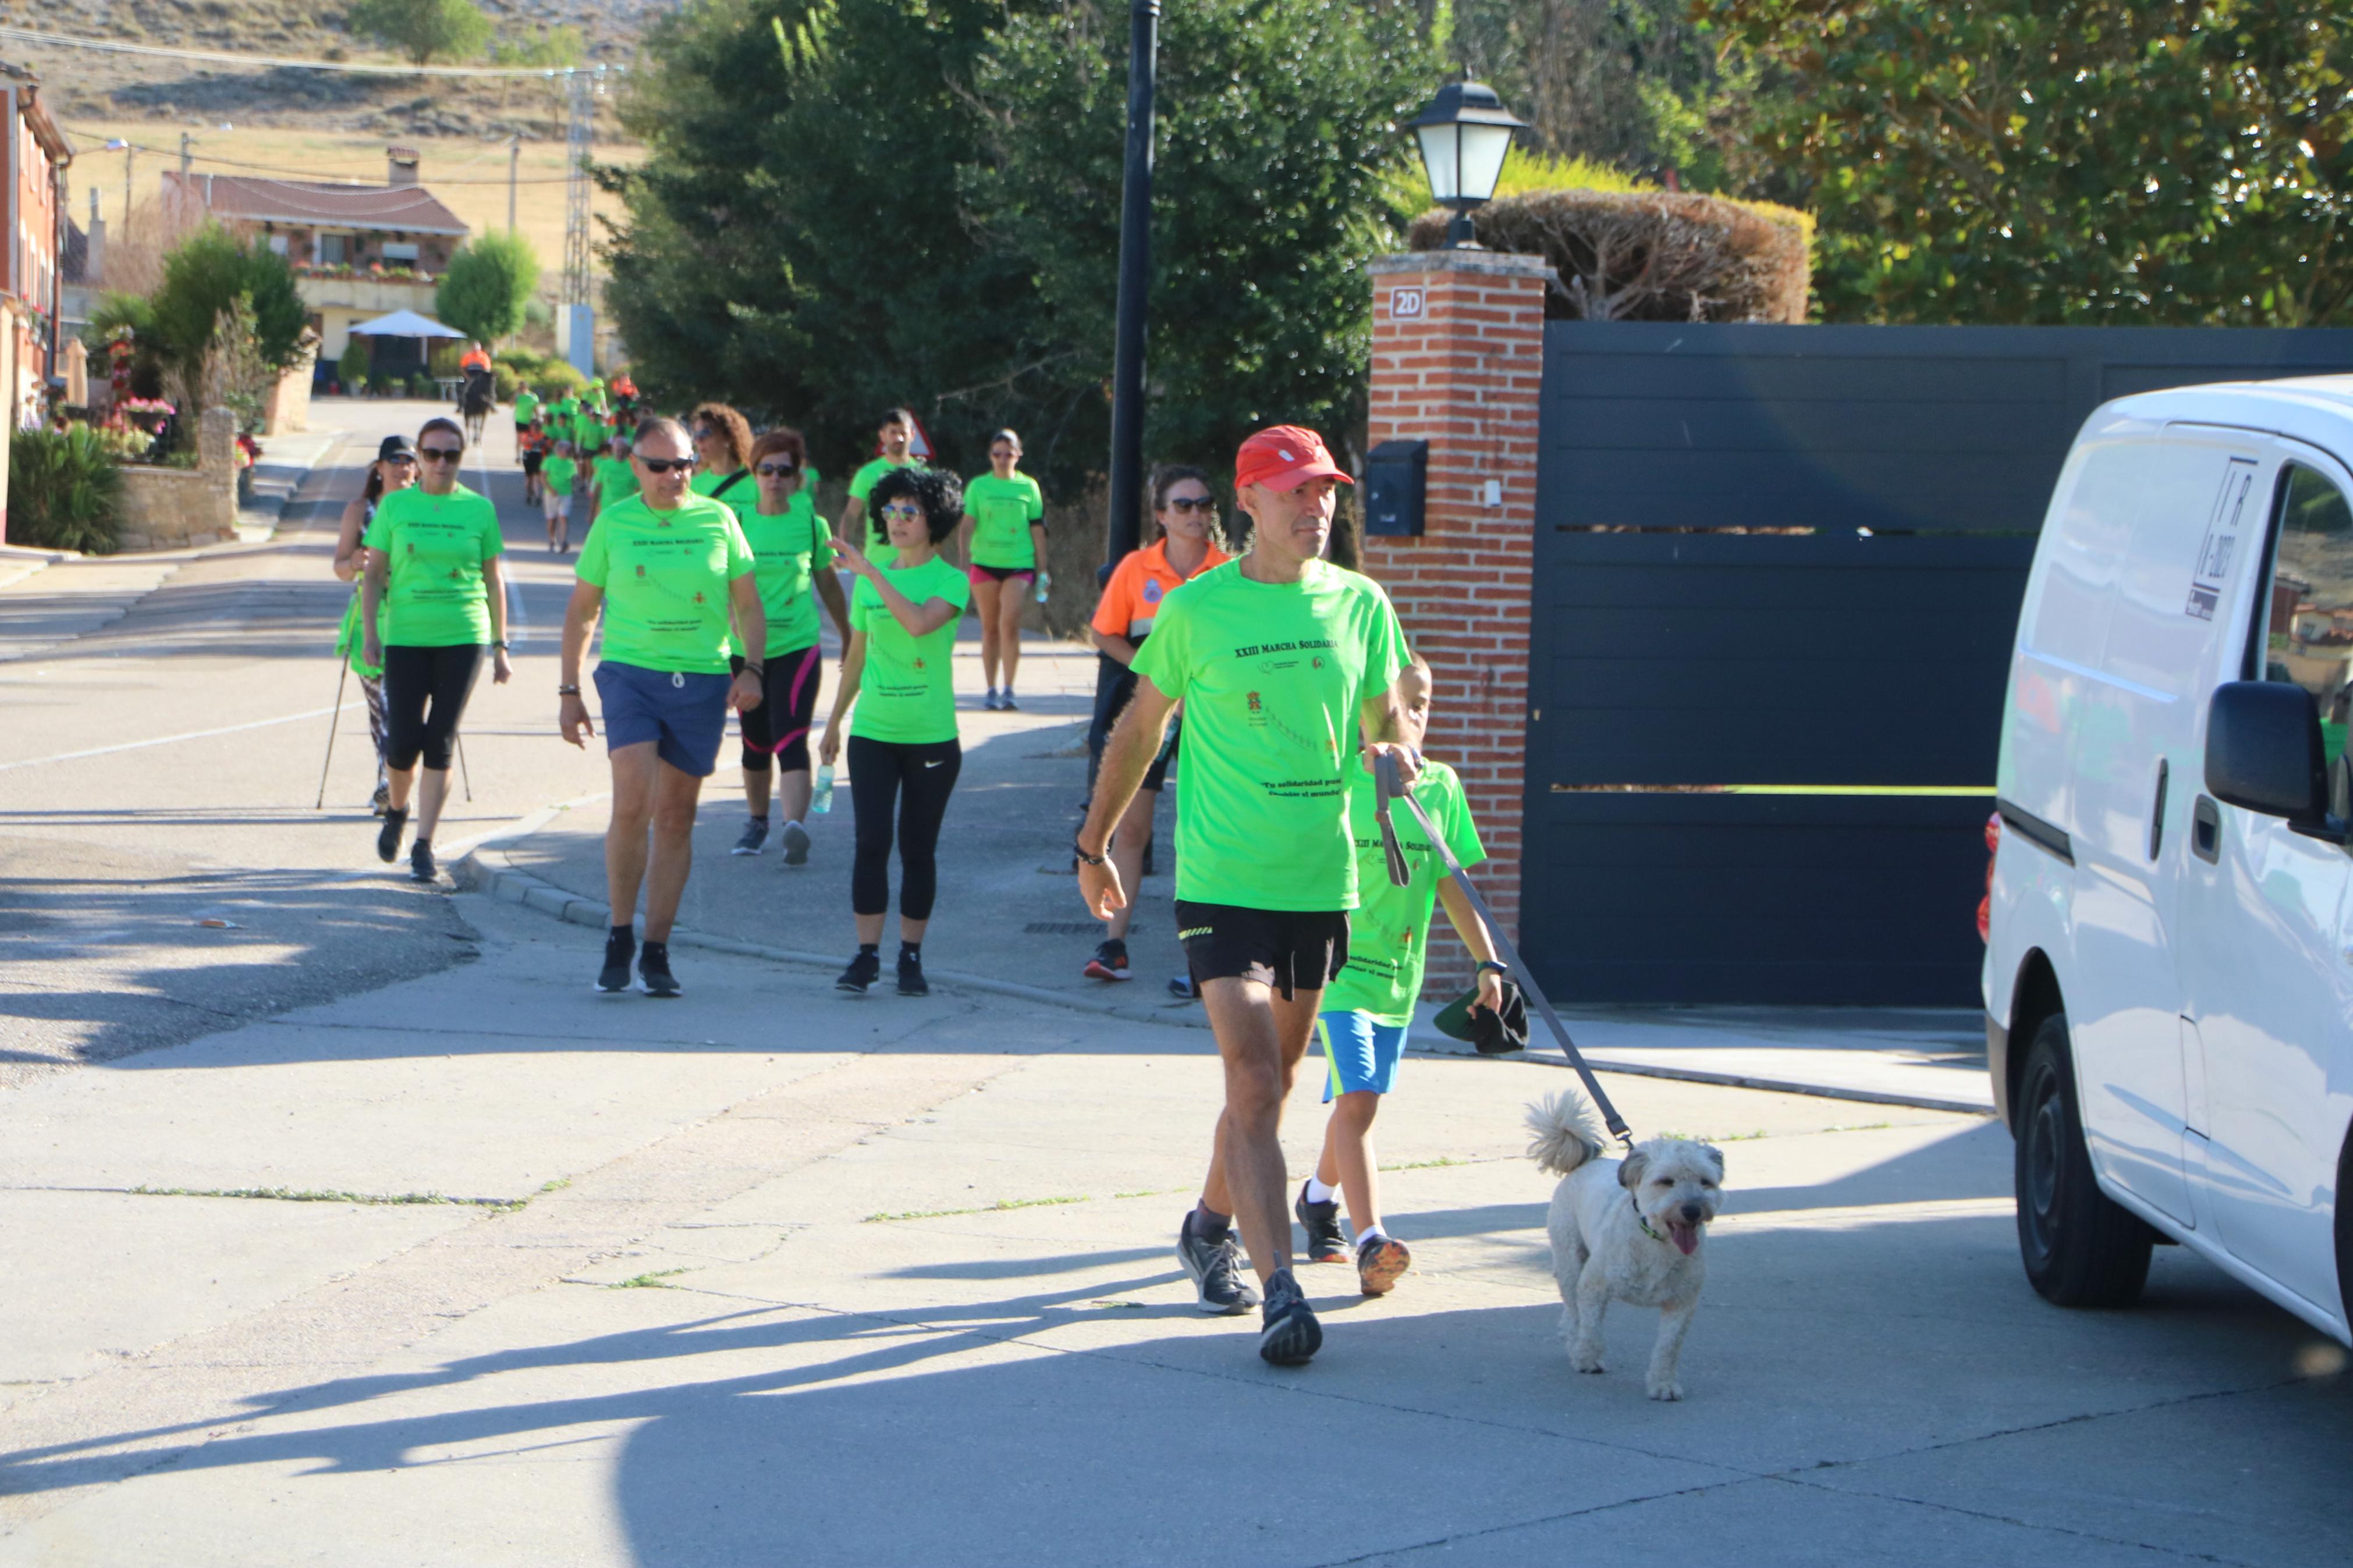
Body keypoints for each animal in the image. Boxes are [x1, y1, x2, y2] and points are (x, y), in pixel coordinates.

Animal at [1534, 1086, 1722, 1401]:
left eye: (1706, 1182)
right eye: (1666, 1181)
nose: (1693, 1210)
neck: (1656, 1242)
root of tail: (1589, 1161)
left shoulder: (1682, 1304)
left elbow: (1668, 1349)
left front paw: (1663, 1384)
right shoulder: (1593, 1285)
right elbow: (1591, 1328)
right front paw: (1588, 1358)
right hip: (1570, 1260)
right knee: (1574, 1312)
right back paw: (1575, 1343)